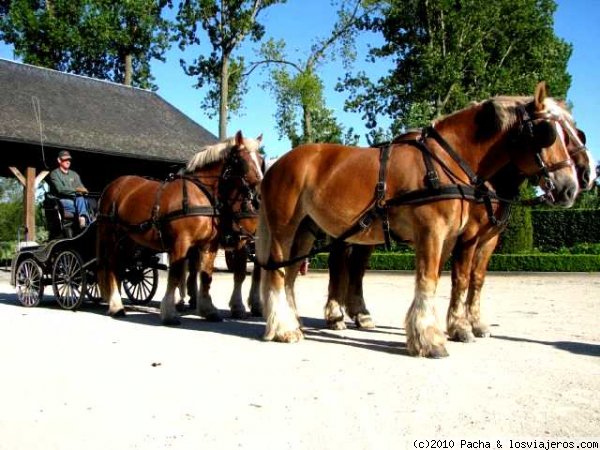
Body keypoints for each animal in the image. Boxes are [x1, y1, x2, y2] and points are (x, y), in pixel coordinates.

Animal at [98, 130, 262, 324]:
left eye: (261, 160)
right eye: (241, 160)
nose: (259, 197)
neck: (200, 194)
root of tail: (114, 185)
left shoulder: (209, 245)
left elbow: (206, 276)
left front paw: (208, 310)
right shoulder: (181, 243)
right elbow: (176, 275)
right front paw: (169, 313)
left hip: (130, 239)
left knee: (122, 266)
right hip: (111, 236)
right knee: (112, 266)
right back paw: (116, 305)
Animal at [328, 123, 596, 338]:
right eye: (562, 138)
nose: (587, 176)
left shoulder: (486, 239)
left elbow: (474, 278)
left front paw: (471, 323)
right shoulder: (467, 237)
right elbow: (460, 277)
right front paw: (458, 325)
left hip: (366, 236)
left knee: (356, 269)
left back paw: (359, 314)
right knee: (339, 265)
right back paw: (335, 315)